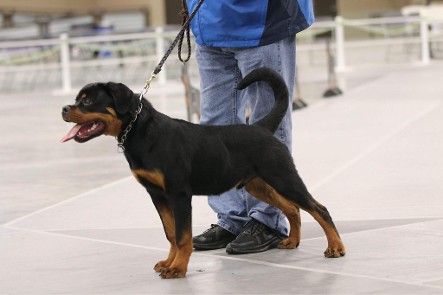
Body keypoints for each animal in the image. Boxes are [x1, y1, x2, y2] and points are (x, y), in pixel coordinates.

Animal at [61, 67, 346, 280]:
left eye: (87, 100)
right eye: (77, 99)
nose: (64, 108)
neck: (141, 132)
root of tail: (262, 127)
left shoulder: (179, 194)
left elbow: (182, 235)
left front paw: (178, 268)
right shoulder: (157, 196)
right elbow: (170, 233)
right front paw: (169, 262)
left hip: (283, 176)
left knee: (318, 208)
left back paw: (335, 247)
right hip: (259, 184)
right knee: (293, 209)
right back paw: (293, 241)